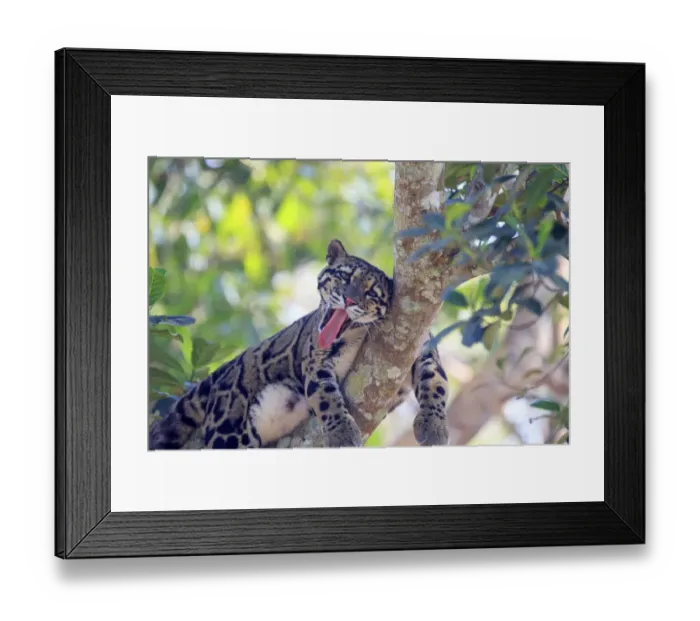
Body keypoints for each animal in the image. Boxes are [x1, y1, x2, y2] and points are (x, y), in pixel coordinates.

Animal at [148, 239, 450, 450]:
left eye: (371, 293)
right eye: (344, 277)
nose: (349, 299)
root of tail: (221, 373)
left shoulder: (423, 346)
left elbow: (435, 384)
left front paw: (434, 424)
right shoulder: (316, 361)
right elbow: (327, 397)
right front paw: (342, 433)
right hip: (227, 428)